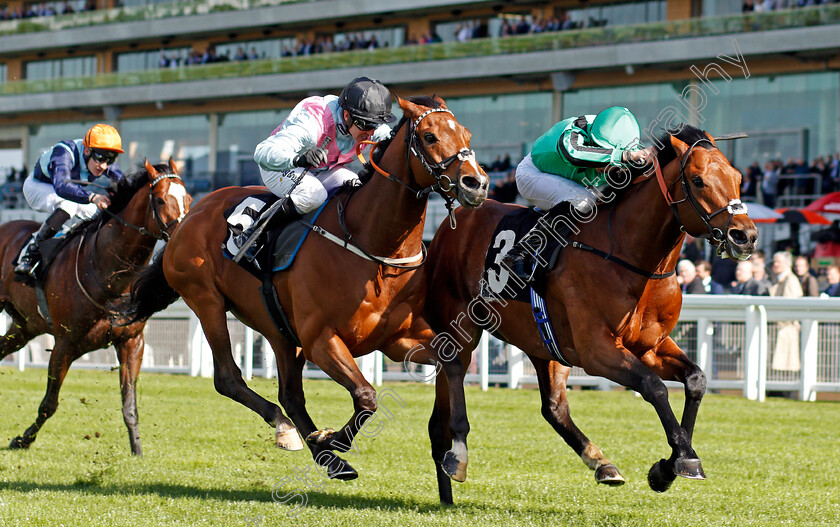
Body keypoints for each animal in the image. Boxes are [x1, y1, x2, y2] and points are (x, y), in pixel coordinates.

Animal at [0, 159, 190, 456]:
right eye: (159, 200)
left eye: (189, 199)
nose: (185, 235)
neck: (110, 274)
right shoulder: (65, 344)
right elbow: (49, 405)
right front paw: (23, 439)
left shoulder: (132, 342)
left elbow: (129, 405)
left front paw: (137, 450)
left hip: (24, 327)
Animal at [126, 97, 492, 480]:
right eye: (429, 136)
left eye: (466, 133)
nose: (477, 183)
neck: (373, 247)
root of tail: (189, 217)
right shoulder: (322, 340)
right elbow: (366, 395)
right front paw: (334, 439)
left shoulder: (397, 338)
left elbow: (452, 361)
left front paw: (458, 453)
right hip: (206, 300)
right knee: (228, 378)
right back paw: (292, 432)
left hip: (278, 329)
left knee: (290, 394)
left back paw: (321, 452)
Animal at [424, 125, 756, 504]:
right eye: (698, 180)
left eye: (738, 177)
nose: (745, 235)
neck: (632, 257)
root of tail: (455, 217)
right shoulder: (597, 349)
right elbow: (654, 387)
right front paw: (683, 460)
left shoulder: (650, 347)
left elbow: (696, 380)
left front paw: (666, 469)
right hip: (460, 321)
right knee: (453, 374)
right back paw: (458, 457)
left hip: (544, 343)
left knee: (553, 408)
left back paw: (601, 464)